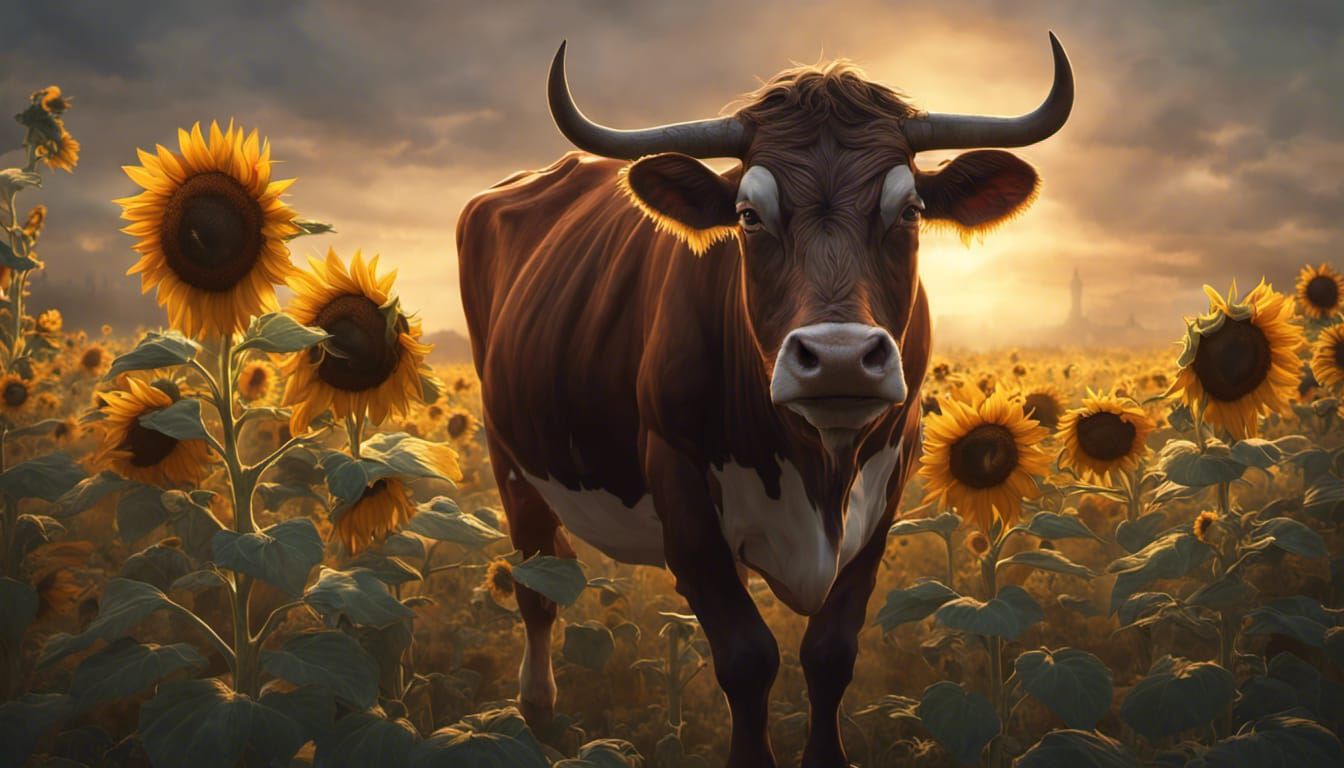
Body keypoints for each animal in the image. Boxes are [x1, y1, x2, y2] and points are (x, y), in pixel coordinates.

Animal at [457, 34, 1072, 767]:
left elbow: (830, 654)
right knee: (538, 590)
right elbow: (747, 658)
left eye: (911, 212)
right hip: (508, 456)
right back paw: (539, 713)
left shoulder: (886, 491)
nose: (838, 357)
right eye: (749, 217)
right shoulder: (679, 487)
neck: (817, 467)